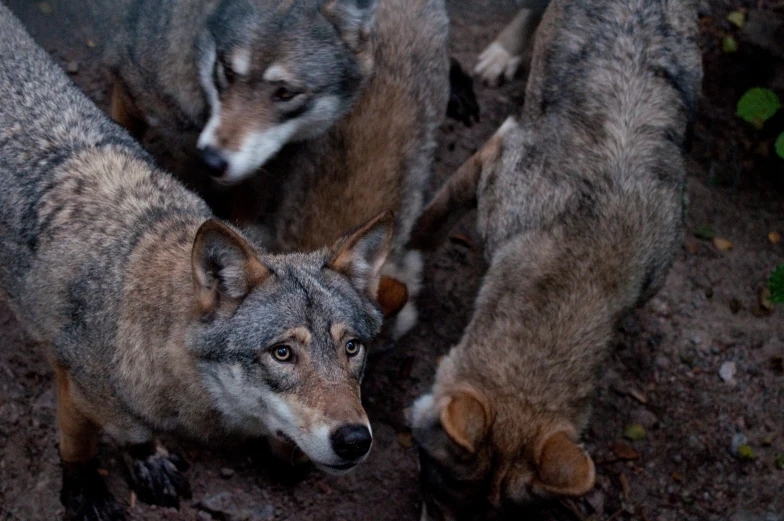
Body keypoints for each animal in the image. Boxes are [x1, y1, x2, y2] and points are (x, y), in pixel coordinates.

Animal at [1, 3, 398, 516]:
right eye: (282, 353)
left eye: (352, 347)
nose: (354, 439)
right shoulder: (75, 386)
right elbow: (83, 443)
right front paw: (85, 490)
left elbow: (134, 436)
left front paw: (145, 460)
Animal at [408, 0, 700, 516]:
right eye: (434, 497)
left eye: (486, 520)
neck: (588, 251)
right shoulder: (494, 155)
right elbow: (426, 229)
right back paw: (502, 56)